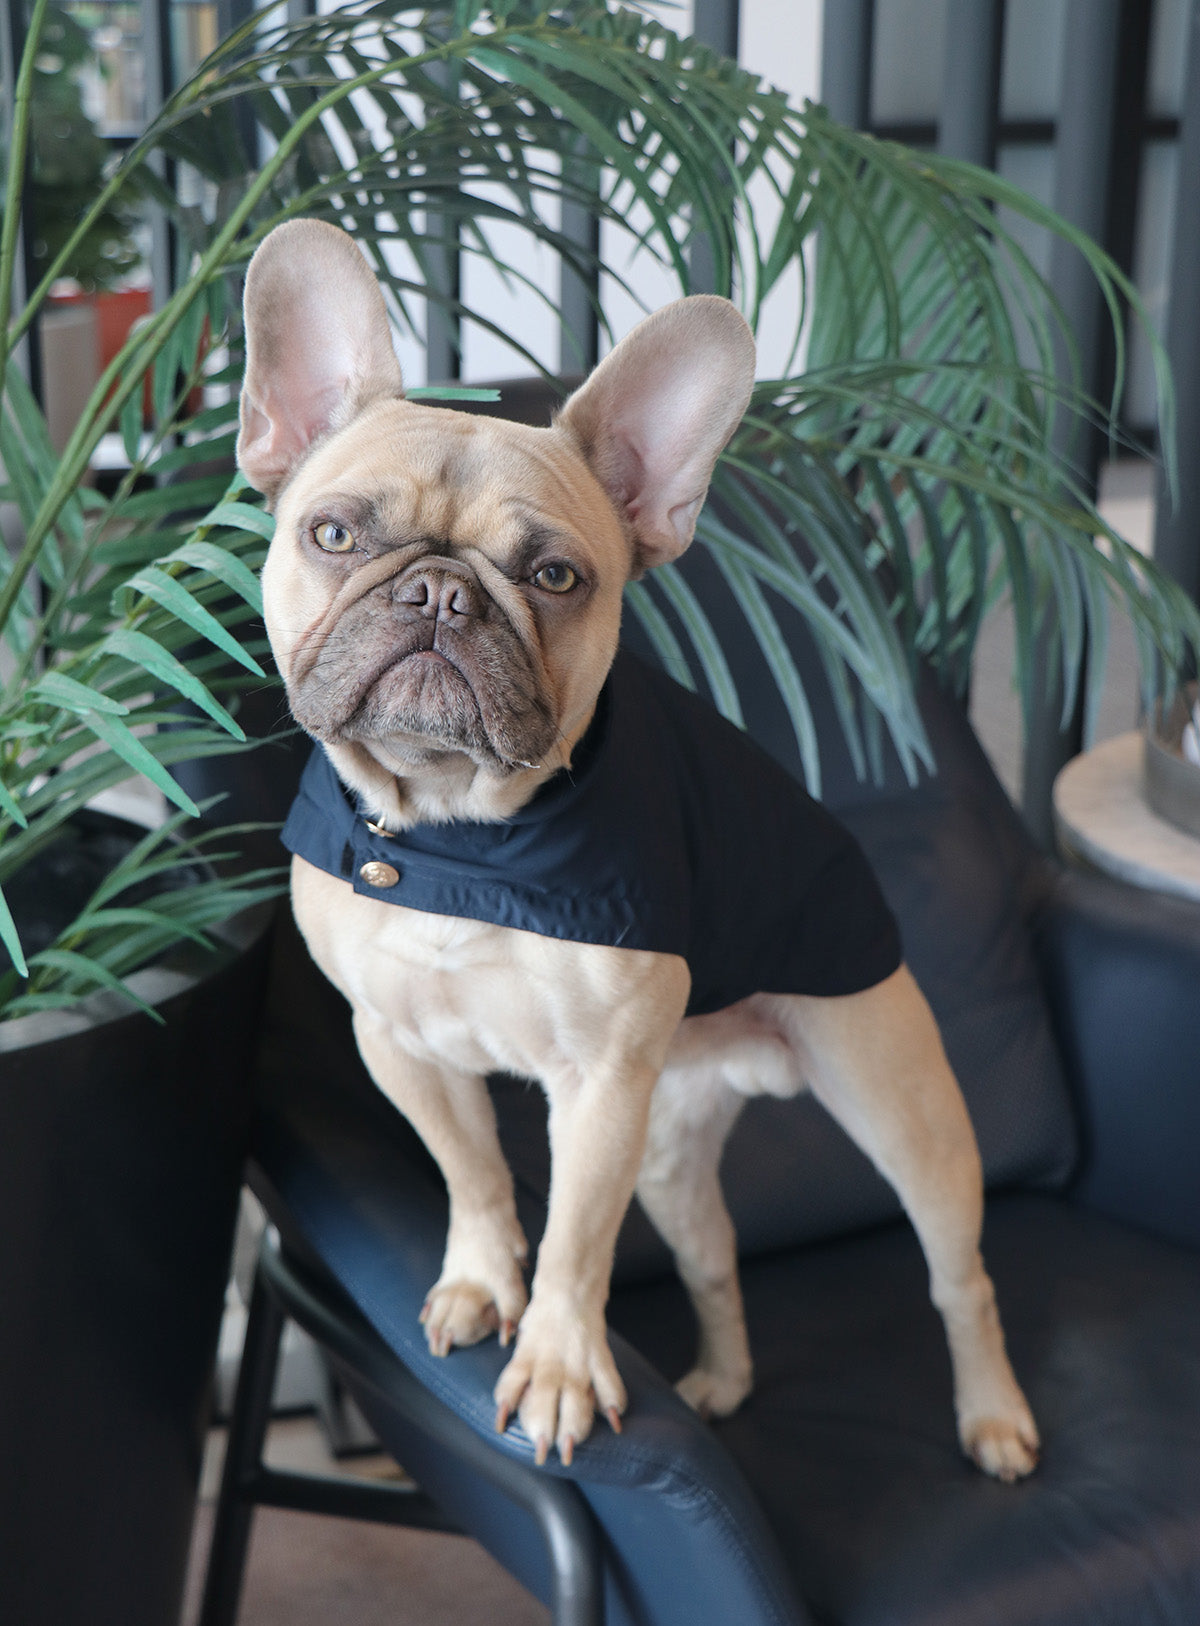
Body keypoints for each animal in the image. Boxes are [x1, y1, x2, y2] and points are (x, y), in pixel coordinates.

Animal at [240, 219, 1040, 1489]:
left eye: (555, 576)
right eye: (333, 533)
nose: (439, 592)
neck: (466, 843)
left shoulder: (597, 1090)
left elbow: (574, 1241)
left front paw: (559, 1367)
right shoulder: (401, 1046)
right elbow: (472, 1175)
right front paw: (479, 1282)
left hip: (897, 1105)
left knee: (958, 1276)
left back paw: (995, 1417)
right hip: (665, 1148)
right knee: (713, 1257)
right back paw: (719, 1382)